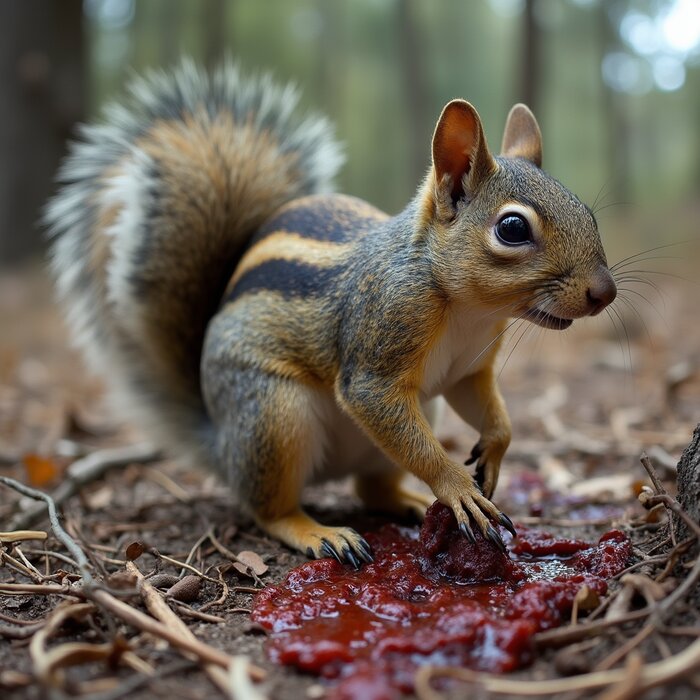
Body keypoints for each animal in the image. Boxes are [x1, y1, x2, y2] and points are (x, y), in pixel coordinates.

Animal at [47, 61, 612, 568]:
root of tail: (219, 442)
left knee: (369, 488)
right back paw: (319, 532)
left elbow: (490, 410)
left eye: (587, 210)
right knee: (267, 508)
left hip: (407, 417)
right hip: (274, 416)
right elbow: (379, 405)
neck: (468, 309)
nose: (604, 293)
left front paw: (493, 452)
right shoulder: (379, 336)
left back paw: (408, 501)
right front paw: (456, 485)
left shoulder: (467, 370)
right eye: (512, 229)